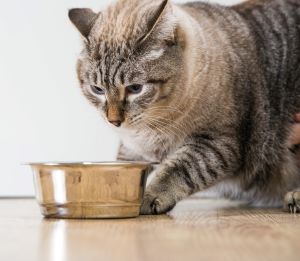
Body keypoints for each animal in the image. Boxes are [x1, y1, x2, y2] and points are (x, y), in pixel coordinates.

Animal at [69, 0, 300, 213]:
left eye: (135, 88)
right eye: (97, 89)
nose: (114, 121)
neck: (153, 125)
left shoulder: (217, 144)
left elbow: (178, 170)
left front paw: (148, 197)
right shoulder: (133, 148)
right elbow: (121, 165)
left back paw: (294, 197)